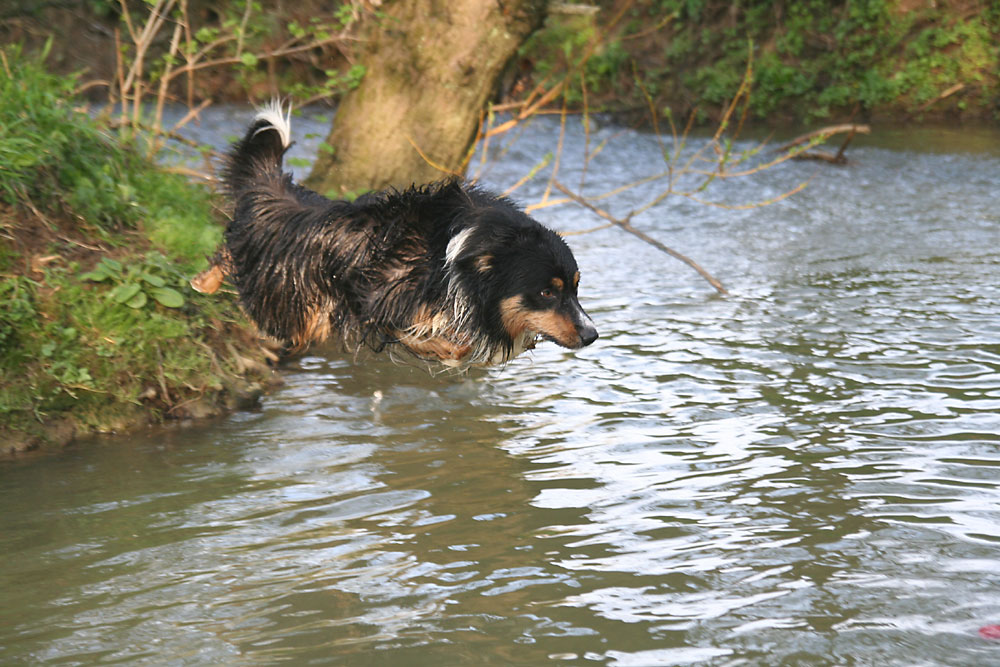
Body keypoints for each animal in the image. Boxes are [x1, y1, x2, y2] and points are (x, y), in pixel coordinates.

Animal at [192, 103, 596, 370]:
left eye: (576, 288)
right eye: (547, 293)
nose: (592, 335)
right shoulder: (378, 301)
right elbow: (441, 343)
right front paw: (442, 351)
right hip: (288, 305)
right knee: (235, 257)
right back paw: (205, 282)